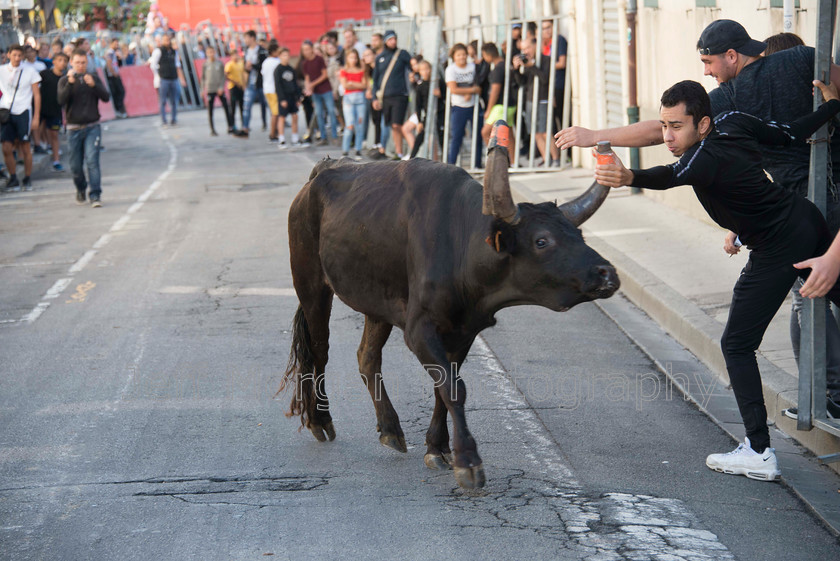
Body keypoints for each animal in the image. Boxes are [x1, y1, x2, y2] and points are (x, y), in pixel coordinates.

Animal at [282, 142, 616, 488]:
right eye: (542, 240)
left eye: (578, 235)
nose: (606, 273)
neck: (461, 244)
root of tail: (321, 172)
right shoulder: (419, 330)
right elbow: (454, 388)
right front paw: (468, 461)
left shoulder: (464, 331)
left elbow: (443, 388)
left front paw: (437, 447)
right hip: (312, 287)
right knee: (319, 352)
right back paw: (320, 419)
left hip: (377, 304)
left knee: (367, 357)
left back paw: (390, 428)